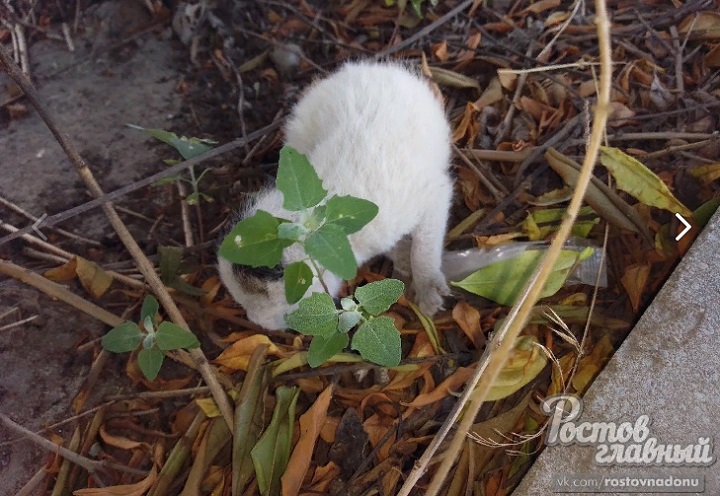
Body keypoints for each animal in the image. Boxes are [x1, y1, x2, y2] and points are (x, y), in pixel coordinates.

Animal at [217, 61, 452, 330]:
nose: (253, 320)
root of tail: (367, 67)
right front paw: (402, 258)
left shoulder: (434, 196)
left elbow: (424, 250)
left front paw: (428, 292)